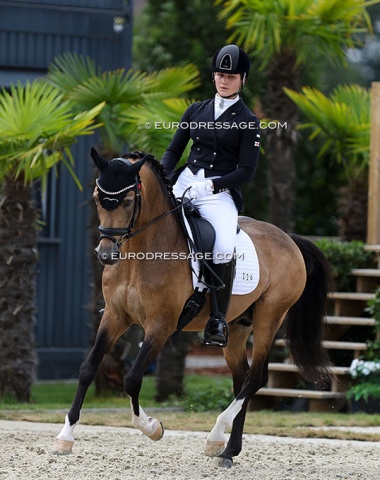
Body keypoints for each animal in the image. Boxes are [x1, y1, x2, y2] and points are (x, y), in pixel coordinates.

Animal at [52, 148, 332, 466]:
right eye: (98, 198)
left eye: (127, 201)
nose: (106, 254)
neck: (141, 253)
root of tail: (288, 238)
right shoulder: (114, 316)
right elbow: (87, 368)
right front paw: (65, 437)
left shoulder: (161, 326)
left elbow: (132, 379)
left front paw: (153, 428)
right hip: (237, 327)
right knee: (241, 378)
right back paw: (228, 450)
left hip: (269, 317)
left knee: (255, 378)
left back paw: (217, 433)